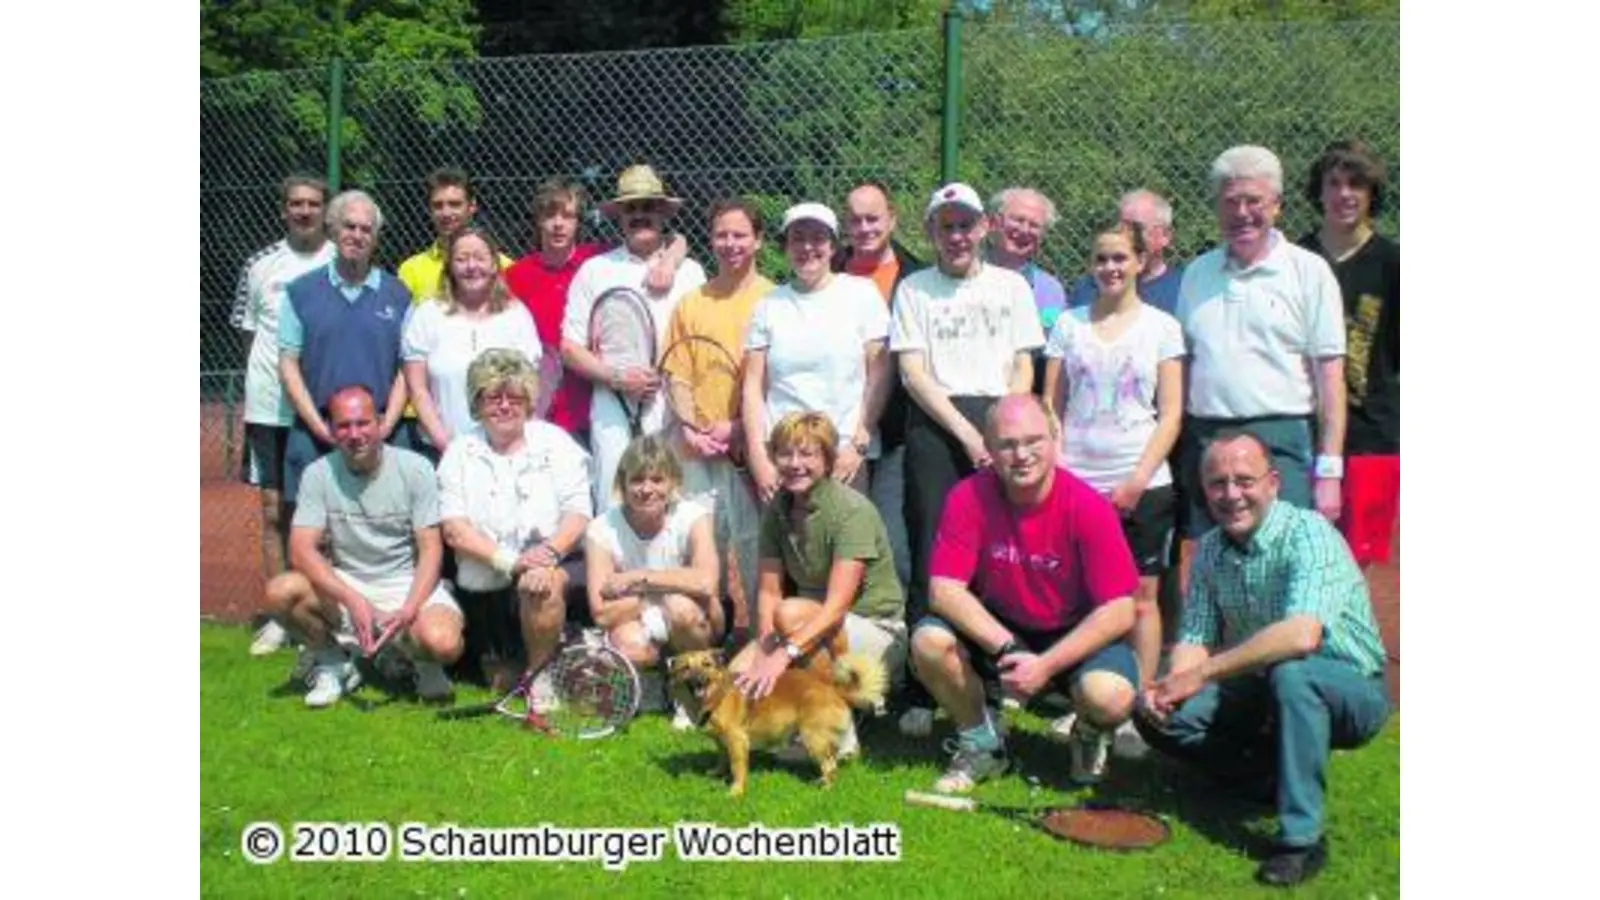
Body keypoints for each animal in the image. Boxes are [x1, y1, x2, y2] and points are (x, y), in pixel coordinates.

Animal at [662, 643, 889, 797]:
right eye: (686, 668)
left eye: (706, 665)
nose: (699, 680)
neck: (717, 696)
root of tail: (833, 688)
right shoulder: (722, 741)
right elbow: (722, 758)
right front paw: (718, 772)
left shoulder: (737, 740)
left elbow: (737, 767)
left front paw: (736, 790)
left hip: (812, 738)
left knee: (830, 764)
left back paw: (825, 787)